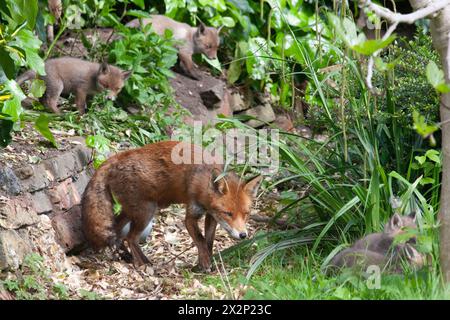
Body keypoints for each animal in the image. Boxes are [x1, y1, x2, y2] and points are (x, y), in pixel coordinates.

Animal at [82, 140, 262, 270]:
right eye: (228, 213)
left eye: (246, 214)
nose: (243, 235)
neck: (203, 183)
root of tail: (117, 156)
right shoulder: (191, 216)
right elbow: (200, 240)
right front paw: (204, 264)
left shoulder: (211, 216)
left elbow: (208, 242)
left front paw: (205, 261)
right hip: (146, 211)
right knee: (130, 237)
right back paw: (142, 263)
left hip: (132, 210)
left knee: (118, 230)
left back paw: (125, 256)